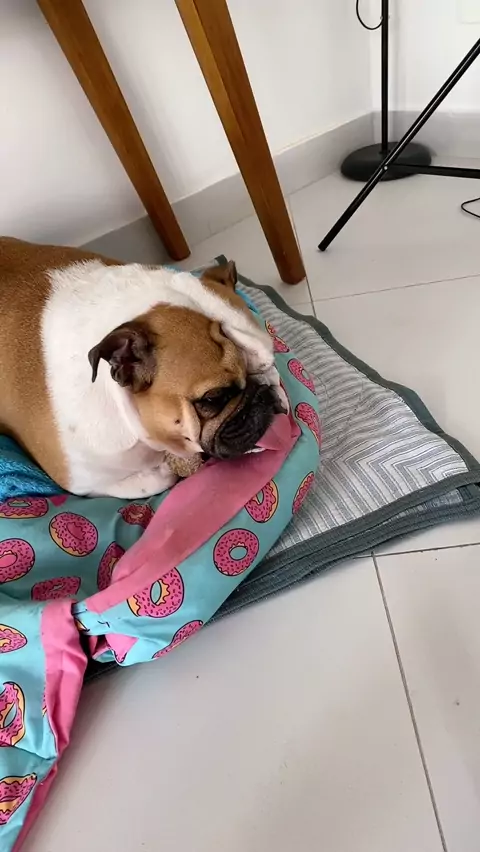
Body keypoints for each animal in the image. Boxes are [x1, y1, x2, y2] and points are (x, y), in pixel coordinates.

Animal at [0, 237, 285, 498]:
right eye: (214, 397)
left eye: (269, 364)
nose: (264, 393)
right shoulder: (85, 483)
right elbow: (154, 481)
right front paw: (164, 470)